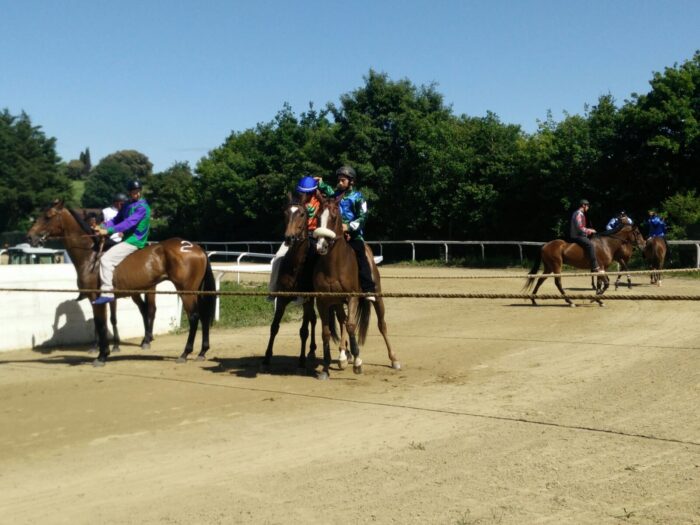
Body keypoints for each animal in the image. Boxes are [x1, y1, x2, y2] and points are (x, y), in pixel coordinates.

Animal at [26, 199, 215, 366]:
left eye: (48, 216)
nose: (29, 236)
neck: (91, 254)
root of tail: (197, 247)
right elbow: (100, 324)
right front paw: (102, 352)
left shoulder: (97, 298)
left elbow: (101, 324)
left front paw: (102, 356)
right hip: (195, 291)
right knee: (203, 315)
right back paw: (202, 351)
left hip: (186, 291)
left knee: (193, 317)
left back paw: (185, 353)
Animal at [262, 195, 318, 372]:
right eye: (285, 212)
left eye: (302, 214)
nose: (289, 238)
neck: (296, 266)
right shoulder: (281, 298)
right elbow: (274, 327)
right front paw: (267, 357)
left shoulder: (306, 299)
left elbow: (304, 331)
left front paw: (301, 361)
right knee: (314, 319)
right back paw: (312, 350)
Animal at [312, 196, 400, 376]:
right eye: (317, 217)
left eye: (333, 217)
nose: (321, 246)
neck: (334, 266)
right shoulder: (323, 300)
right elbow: (326, 332)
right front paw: (325, 367)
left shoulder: (352, 296)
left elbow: (352, 326)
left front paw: (358, 361)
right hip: (338, 302)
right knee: (342, 321)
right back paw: (343, 357)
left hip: (377, 296)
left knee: (382, 325)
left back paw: (394, 359)